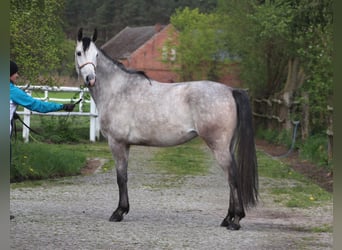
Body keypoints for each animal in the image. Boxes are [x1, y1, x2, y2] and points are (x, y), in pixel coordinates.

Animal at [74, 28, 256, 229]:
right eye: (79, 53)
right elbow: (124, 176)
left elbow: (120, 178)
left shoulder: (117, 143)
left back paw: (236, 220)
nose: (91, 79)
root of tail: (230, 90)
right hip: (227, 146)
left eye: (96, 55)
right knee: (231, 178)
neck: (117, 90)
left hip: (219, 147)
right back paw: (228, 218)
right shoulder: (125, 145)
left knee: (232, 177)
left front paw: (119, 212)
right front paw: (123, 210)